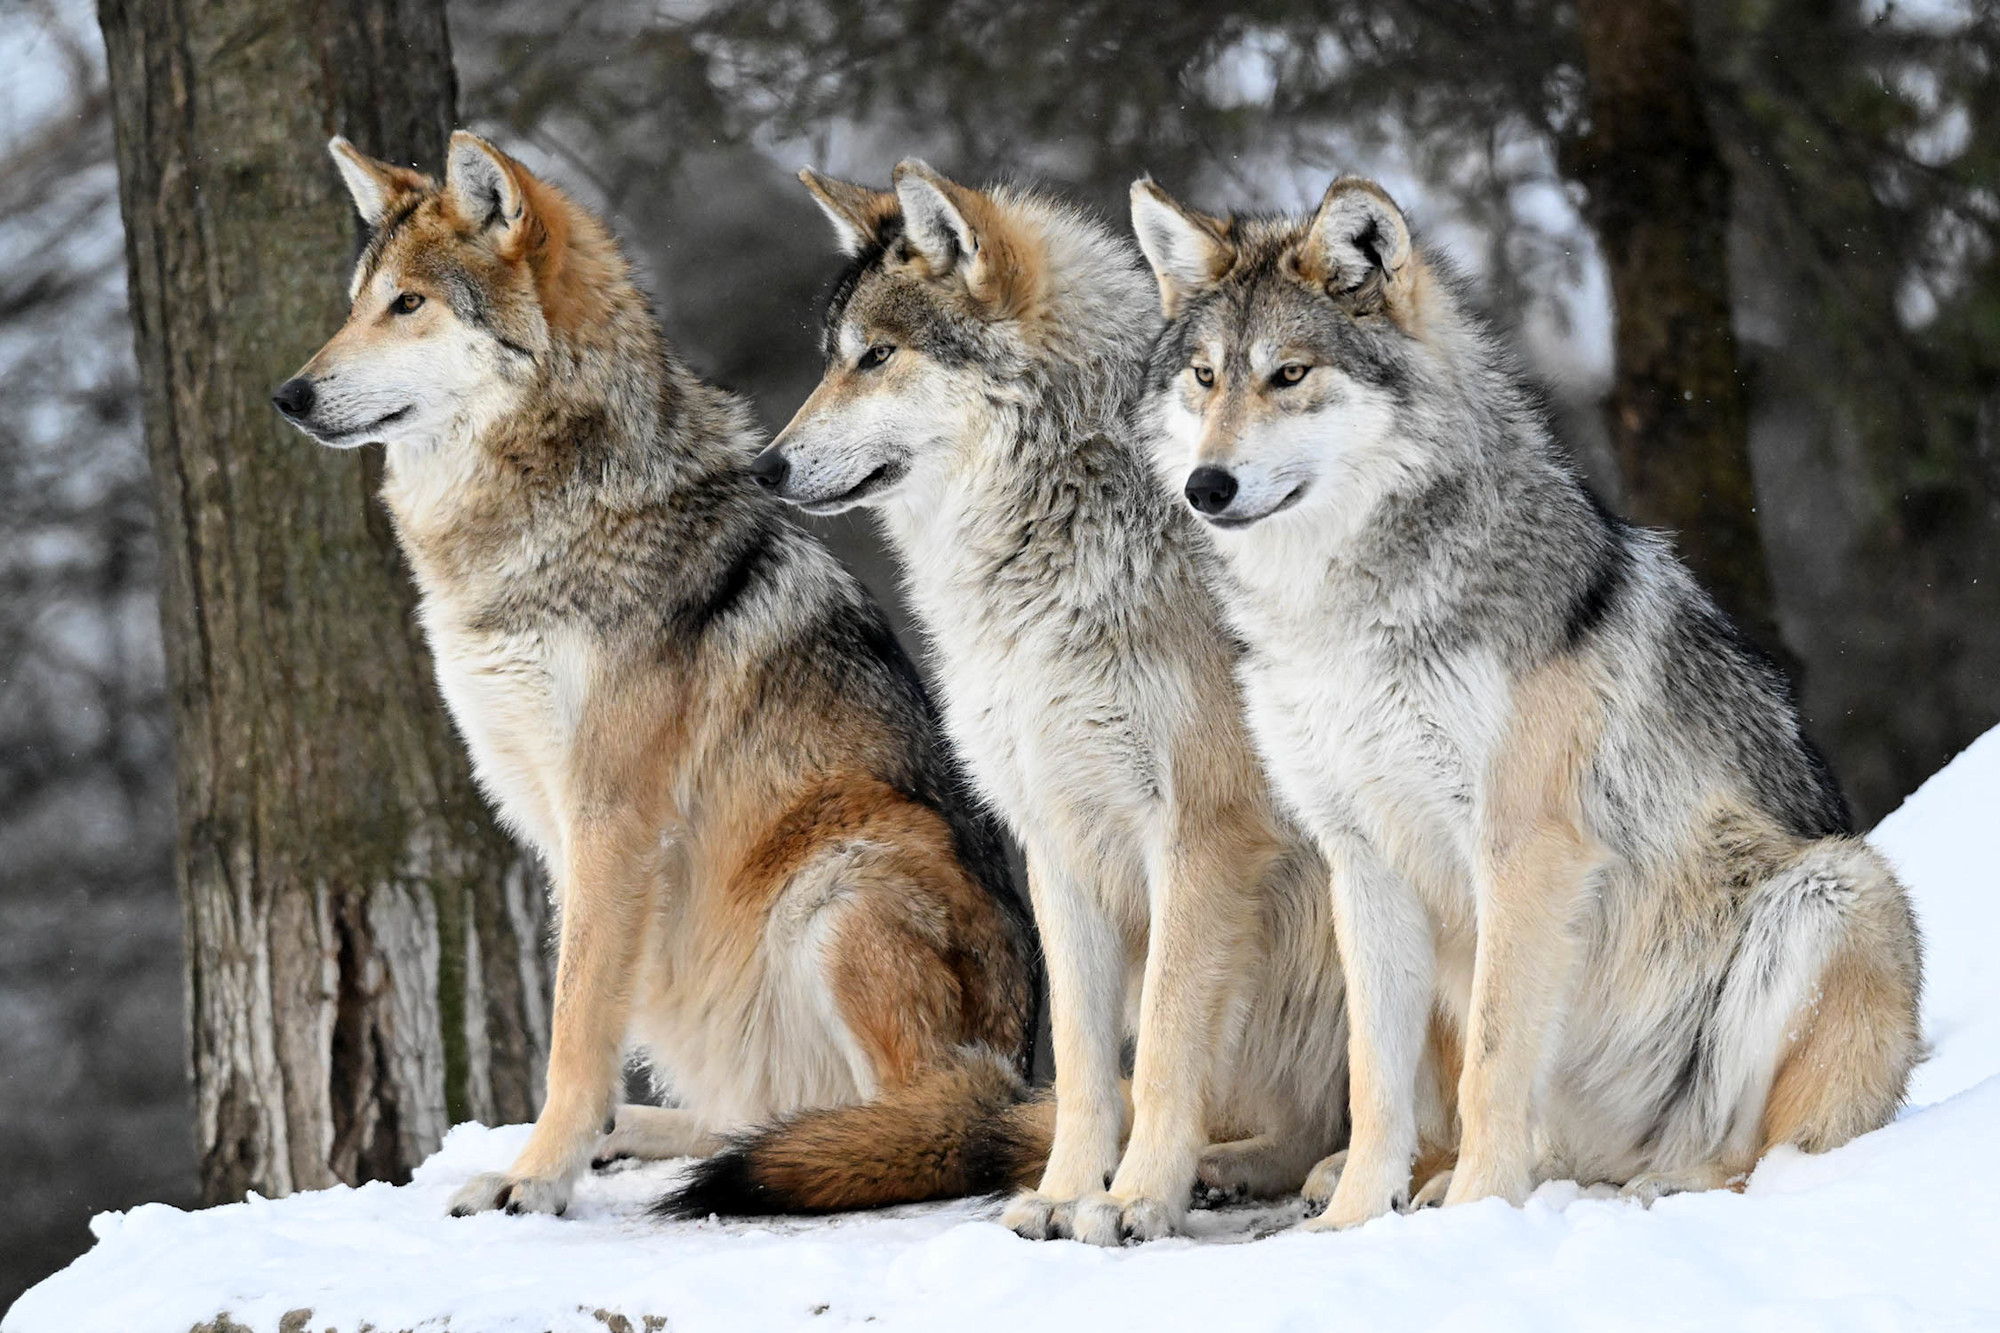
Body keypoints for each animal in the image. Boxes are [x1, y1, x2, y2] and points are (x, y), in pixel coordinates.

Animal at [271, 131, 1037, 1220]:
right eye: (356, 302)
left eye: (408, 304)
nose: (287, 396)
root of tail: (1028, 1064)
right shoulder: (554, 826)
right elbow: (580, 1013)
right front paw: (559, 1151)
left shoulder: (612, 814)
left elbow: (577, 1022)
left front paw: (534, 1178)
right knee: (764, 1114)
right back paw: (645, 1134)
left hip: (843, 879)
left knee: (918, 1120)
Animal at [712, 159, 1423, 1246]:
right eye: (833, 359)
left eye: (876, 356)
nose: (767, 466)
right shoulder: (1055, 836)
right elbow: (1091, 1067)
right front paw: (1064, 1192)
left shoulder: (1203, 833)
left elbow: (1162, 1045)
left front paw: (1133, 1200)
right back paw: (1237, 1166)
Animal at [1128, 174, 1924, 1230]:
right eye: (1206, 377)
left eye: (1290, 374)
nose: (1205, 485)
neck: (1346, 619)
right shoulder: (1361, 857)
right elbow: (1375, 1078)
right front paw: (1355, 1225)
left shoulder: (1523, 849)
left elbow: (1494, 1059)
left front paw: (1475, 1215)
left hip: (1838, 890)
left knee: (1764, 1158)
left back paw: (1654, 1186)